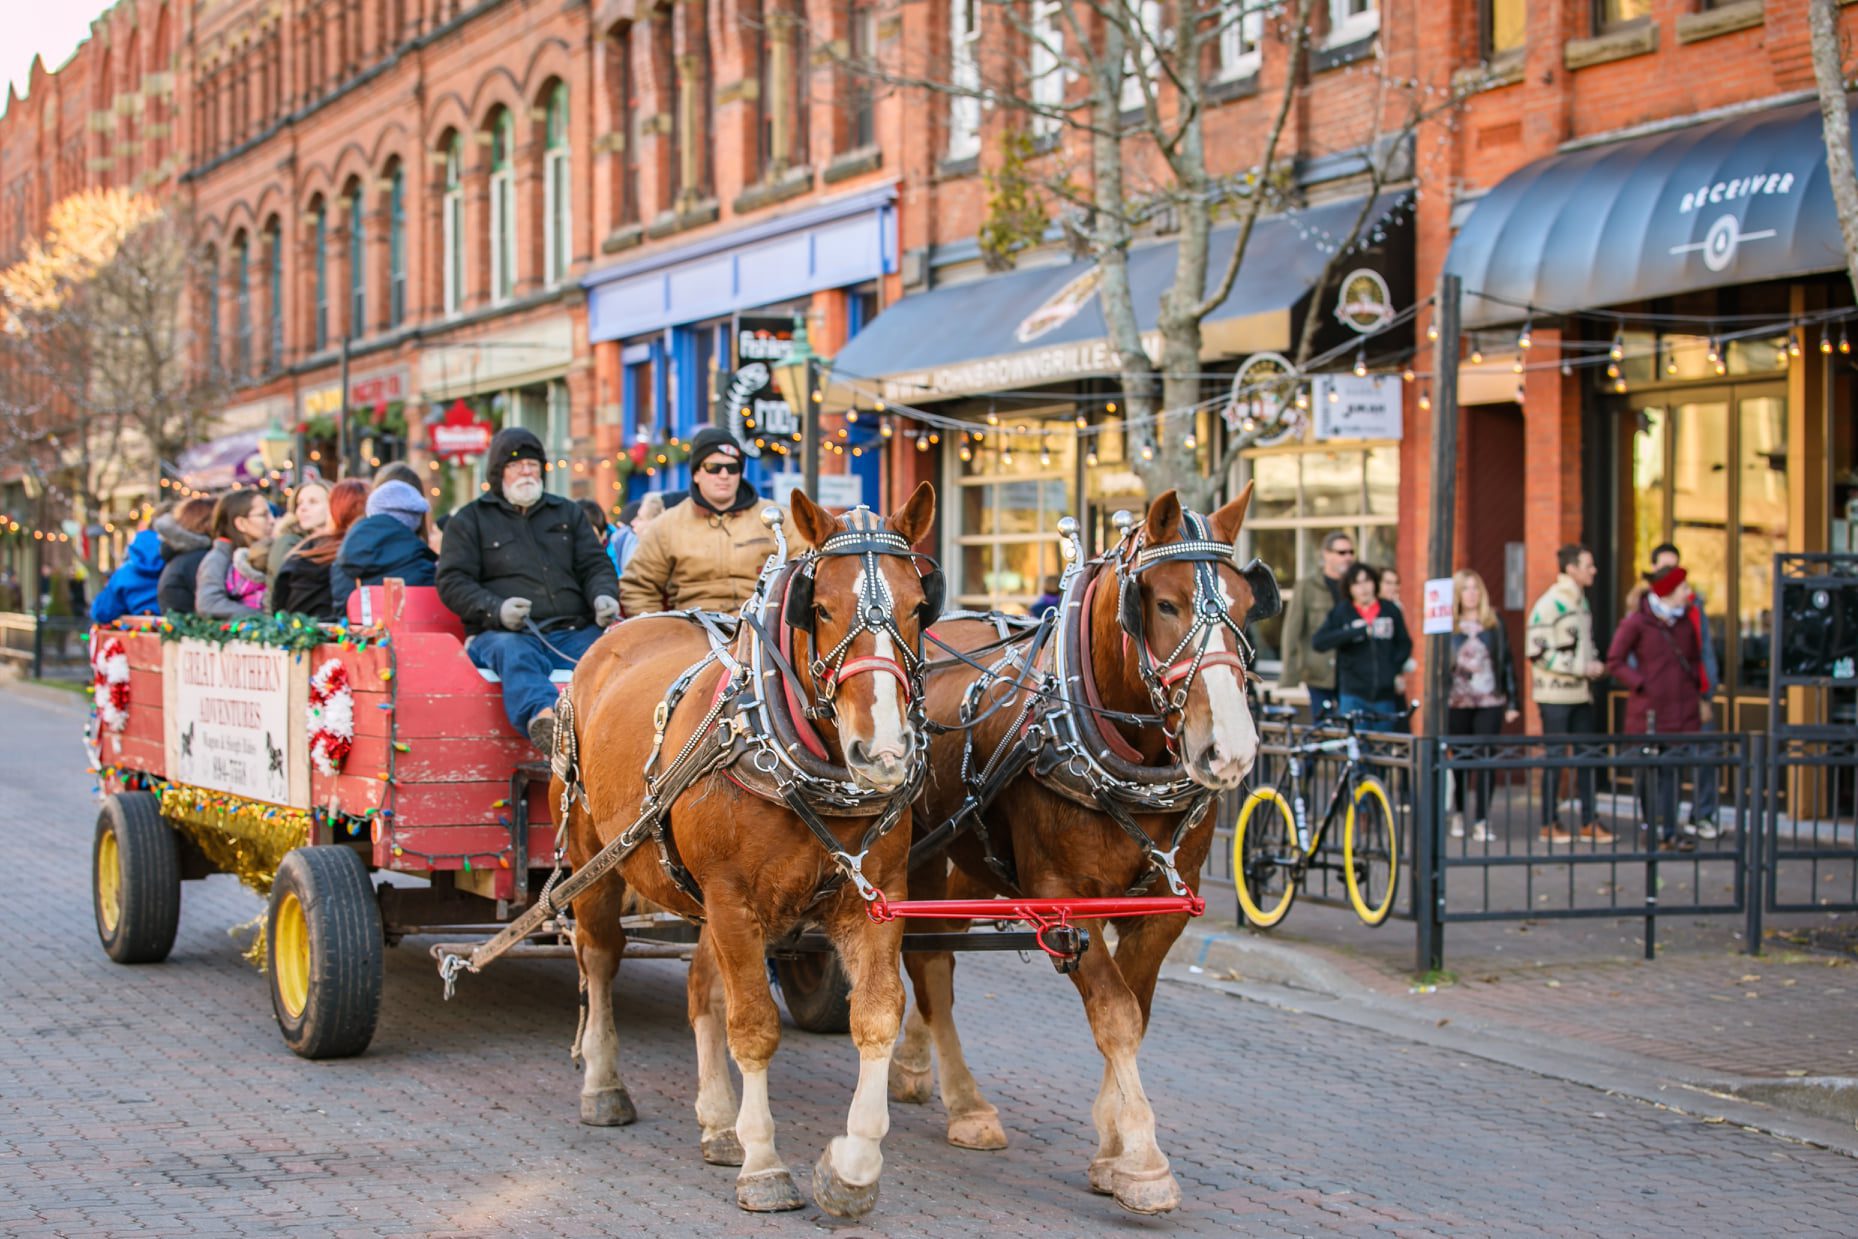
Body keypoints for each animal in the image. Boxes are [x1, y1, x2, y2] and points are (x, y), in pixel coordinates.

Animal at [546, 479, 929, 1218]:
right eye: (822, 606)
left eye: (921, 605)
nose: (884, 753)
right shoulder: (732, 898)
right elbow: (753, 1025)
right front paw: (764, 1165)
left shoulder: (875, 899)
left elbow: (876, 1017)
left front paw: (851, 1169)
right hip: (594, 860)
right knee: (600, 959)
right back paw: (604, 1087)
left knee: (701, 990)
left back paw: (718, 1123)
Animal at [899, 482, 1278, 1211]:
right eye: (1165, 603)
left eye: (1249, 606)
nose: (1232, 751)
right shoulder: (1060, 899)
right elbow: (1116, 1012)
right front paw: (1143, 1161)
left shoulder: (1160, 907)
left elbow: (1134, 1008)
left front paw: (1112, 1142)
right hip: (919, 854)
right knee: (927, 959)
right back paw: (966, 1103)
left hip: (972, 854)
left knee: (937, 947)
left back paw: (915, 1067)